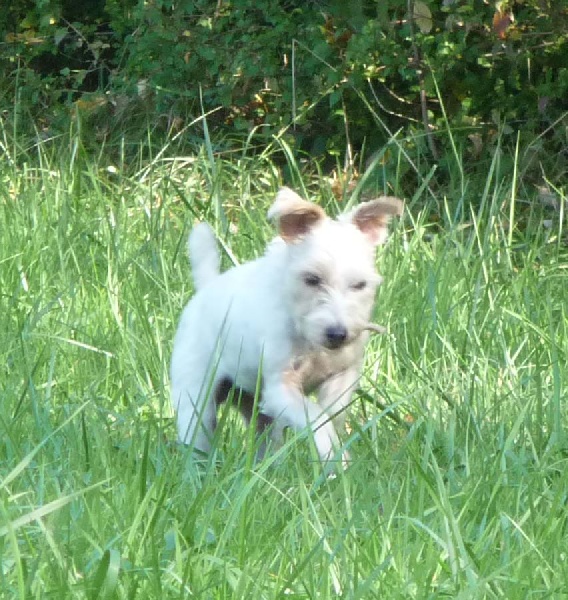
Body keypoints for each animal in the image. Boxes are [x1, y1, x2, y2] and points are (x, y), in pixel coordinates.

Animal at [171, 188, 402, 464]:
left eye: (360, 284)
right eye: (312, 279)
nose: (337, 334)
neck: (308, 339)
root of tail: (206, 288)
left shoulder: (343, 374)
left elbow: (332, 412)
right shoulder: (280, 387)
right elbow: (317, 418)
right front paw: (330, 453)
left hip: (253, 405)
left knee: (264, 434)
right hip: (196, 397)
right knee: (198, 429)